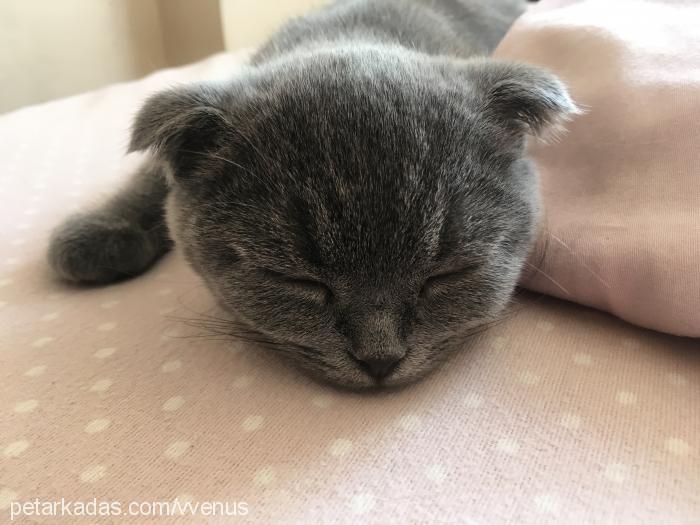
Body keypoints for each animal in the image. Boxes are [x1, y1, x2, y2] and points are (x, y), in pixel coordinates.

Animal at [47, 1, 576, 388]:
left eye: (446, 275)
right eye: (297, 281)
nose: (380, 359)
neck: (358, 30)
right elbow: (153, 175)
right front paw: (101, 231)